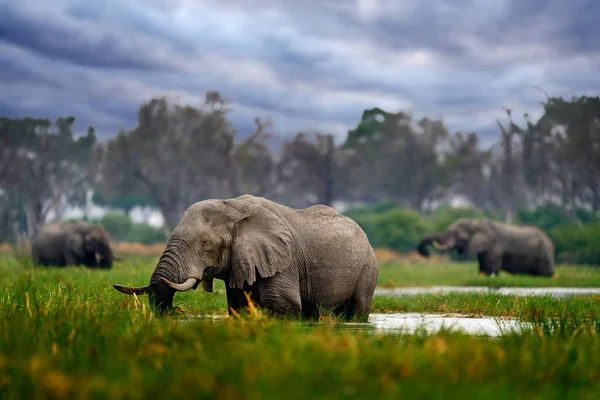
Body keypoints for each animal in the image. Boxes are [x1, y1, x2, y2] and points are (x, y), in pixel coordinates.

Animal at [112, 194, 378, 322]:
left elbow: (283, 304)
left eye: (205, 243)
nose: (176, 311)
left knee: (358, 309)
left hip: (368, 270)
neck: (232, 206)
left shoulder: (285, 259)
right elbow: (239, 307)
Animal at [418, 217, 552, 276]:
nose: (426, 253)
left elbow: (492, 268)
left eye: (460, 236)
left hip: (544, 254)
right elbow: (482, 268)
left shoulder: (494, 247)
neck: (477, 223)